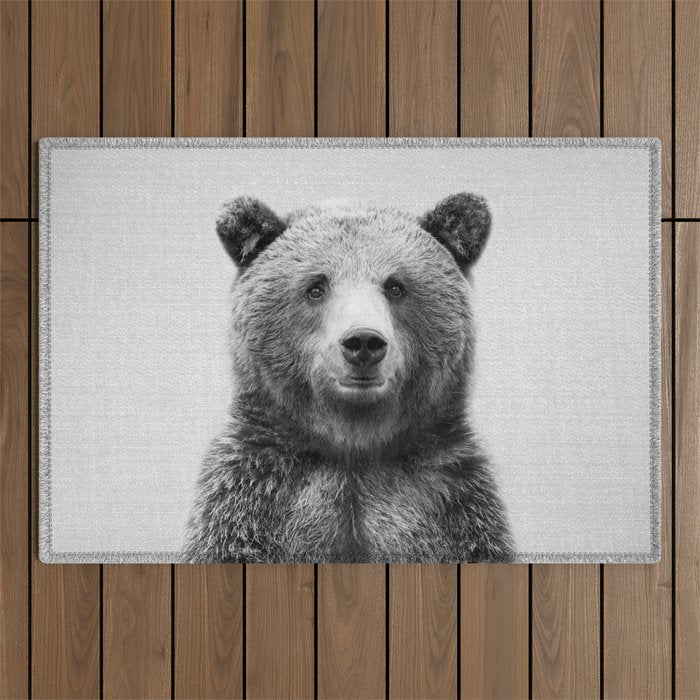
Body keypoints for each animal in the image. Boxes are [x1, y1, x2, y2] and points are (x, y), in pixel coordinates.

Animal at [182, 193, 514, 563]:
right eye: (316, 287)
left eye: (395, 286)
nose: (363, 341)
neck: (354, 448)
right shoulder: (250, 501)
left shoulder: (454, 506)